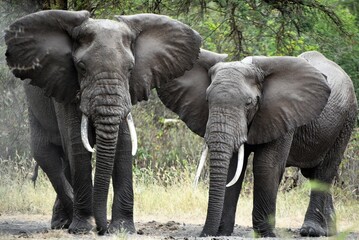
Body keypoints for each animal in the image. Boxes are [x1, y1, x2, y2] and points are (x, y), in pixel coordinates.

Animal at [4, 9, 202, 234]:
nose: (102, 228)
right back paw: (65, 223)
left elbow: (123, 143)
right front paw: (83, 229)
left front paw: (122, 229)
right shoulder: (66, 87)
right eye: (81, 67)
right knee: (47, 156)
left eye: (130, 68)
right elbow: (77, 144)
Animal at [159, 50, 358, 236]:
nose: (204, 234)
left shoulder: (282, 115)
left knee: (324, 172)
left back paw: (312, 231)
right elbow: (233, 168)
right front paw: (223, 232)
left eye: (249, 103)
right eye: (207, 100)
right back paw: (329, 232)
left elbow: (266, 166)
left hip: (347, 119)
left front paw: (265, 234)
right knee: (313, 173)